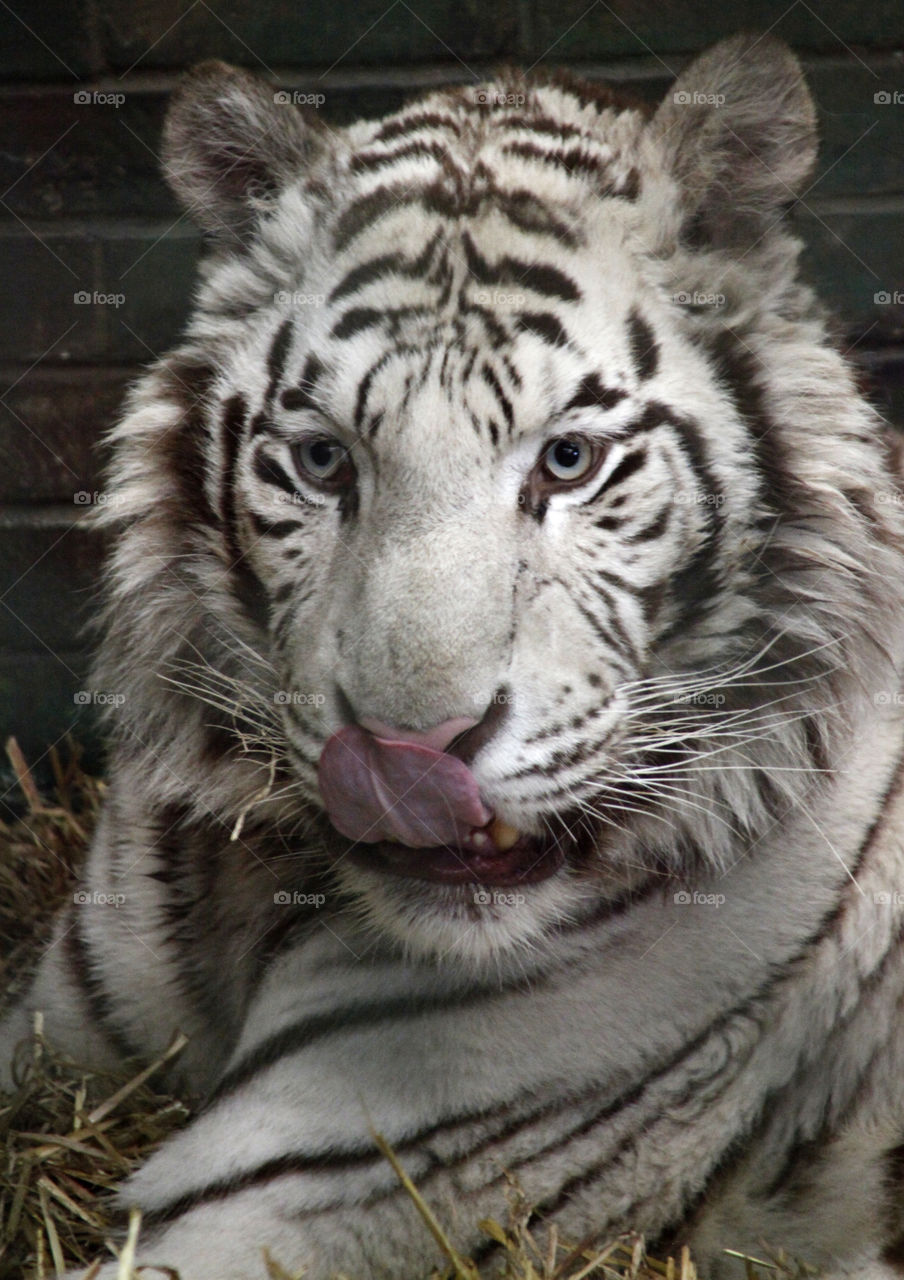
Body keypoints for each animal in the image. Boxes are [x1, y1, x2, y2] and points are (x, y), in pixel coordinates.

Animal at [4, 30, 904, 1280]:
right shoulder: (54, 1027)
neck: (256, 885)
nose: (406, 754)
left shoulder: (291, 1193)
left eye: (568, 460)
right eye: (325, 460)